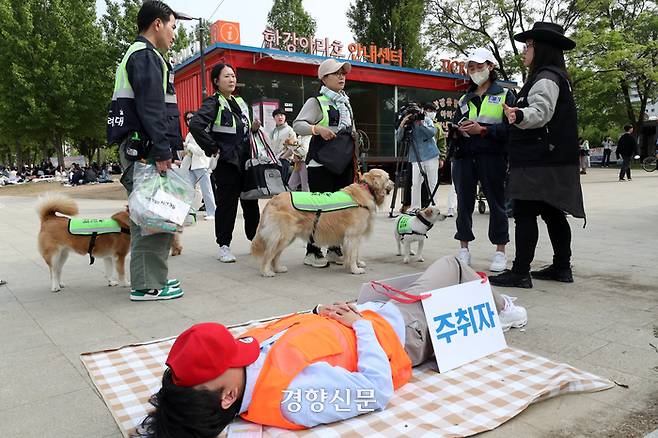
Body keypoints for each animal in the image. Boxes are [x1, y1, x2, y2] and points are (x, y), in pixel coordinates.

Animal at [250, 169, 394, 278]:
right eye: (387, 178)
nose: (393, 183)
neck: (366, 189)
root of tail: (273, 199)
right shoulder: (352, 235)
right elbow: (352, 254)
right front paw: (355, 269)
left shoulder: (354, 236)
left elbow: (355, 252)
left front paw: (357, 263)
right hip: (283, 236)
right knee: (269, 254)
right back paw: (266, 272)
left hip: (287, 237)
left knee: (275, 255)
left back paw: (278, 268)